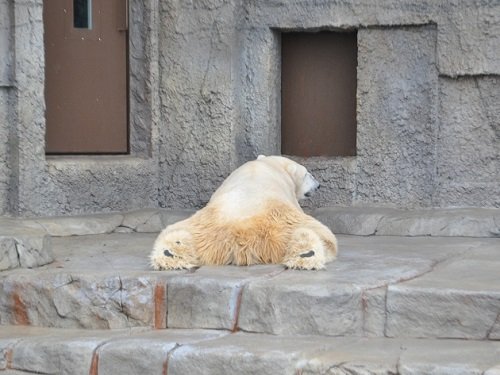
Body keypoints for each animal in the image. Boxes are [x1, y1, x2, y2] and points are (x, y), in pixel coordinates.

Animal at [148, 155, 336, 270]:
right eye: (309, 175)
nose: (319, 185)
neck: (272, 164)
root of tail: (242, 234)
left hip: (202, 226)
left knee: (174, 233)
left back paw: (170, 254)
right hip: (283, 221)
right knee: (319, 234)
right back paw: (306, 255)